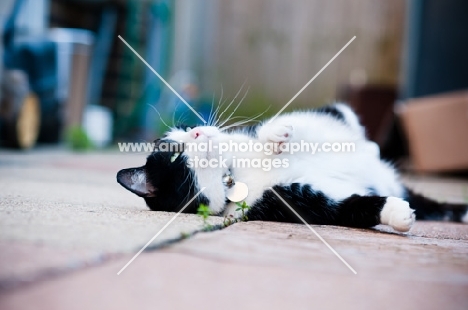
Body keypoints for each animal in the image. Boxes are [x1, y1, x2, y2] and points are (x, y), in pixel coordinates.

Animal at [117, 103, 468, 231]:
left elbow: (279, 124)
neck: (234, 174)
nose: (199, 131)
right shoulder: (295, 201)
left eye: (188, 127)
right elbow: (350, 208)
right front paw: (397, 214)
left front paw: (277, 135)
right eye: (174, 157)